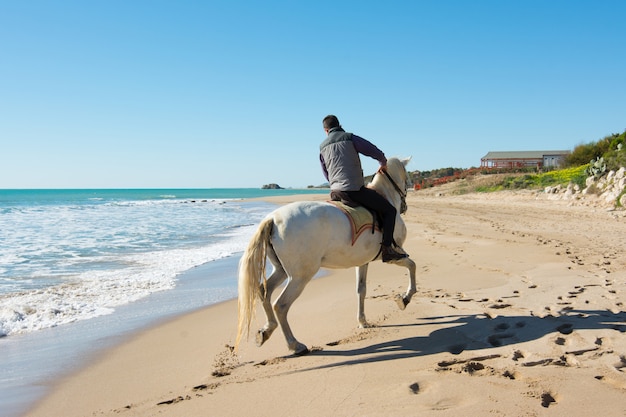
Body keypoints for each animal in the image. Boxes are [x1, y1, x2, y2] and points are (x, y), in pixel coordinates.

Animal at [236, 156, 416, 354]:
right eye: (407, 177)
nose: (405, 205)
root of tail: (273, 218)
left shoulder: (363, 262)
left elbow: (361, 290)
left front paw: (362, 321)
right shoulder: (395, 256)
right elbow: (412, 266)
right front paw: (405, 298)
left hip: (282, 270)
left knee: (264, 291)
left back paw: (267, 330)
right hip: (300, 277)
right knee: (281, 305)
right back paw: (295, 345)